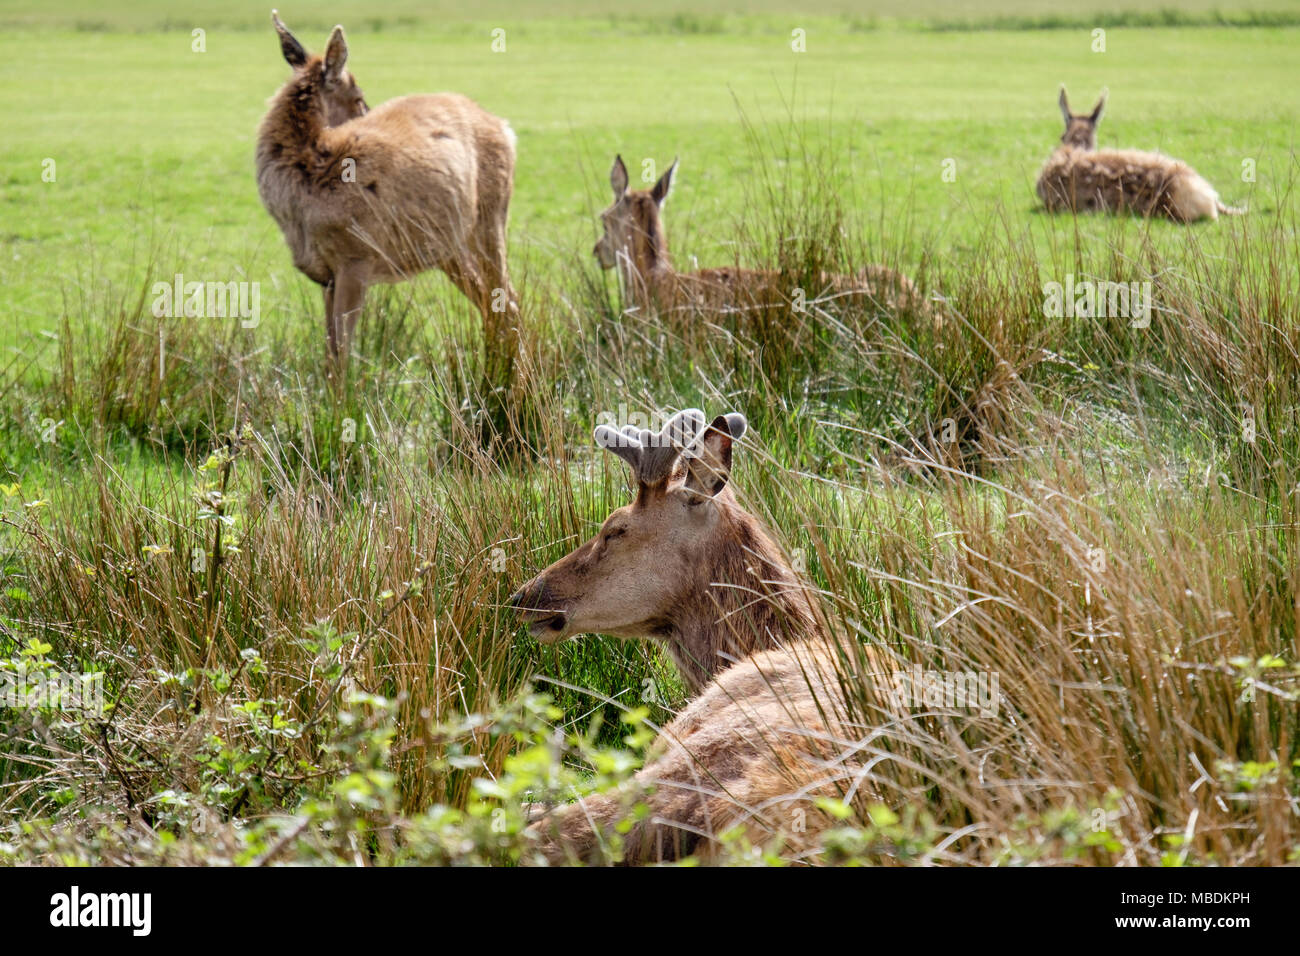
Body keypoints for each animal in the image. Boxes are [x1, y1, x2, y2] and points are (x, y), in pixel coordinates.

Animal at [255, 11, 521, 395]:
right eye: (359, 98)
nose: (367, 110)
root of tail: (505, 128)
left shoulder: (357, 258)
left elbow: (342, 355)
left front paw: (342, 409)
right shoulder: (325, 276)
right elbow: (329, 358)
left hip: (491, 216)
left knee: (508, 301)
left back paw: (507, 387)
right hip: (447, 247)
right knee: (491, 304)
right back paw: (494, 382)